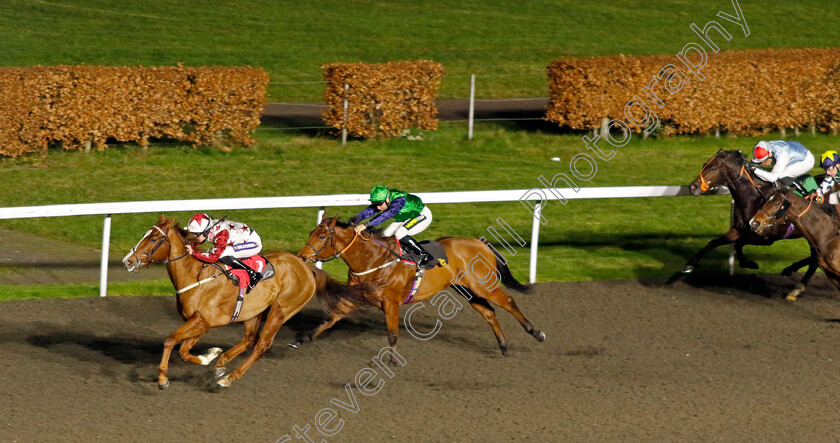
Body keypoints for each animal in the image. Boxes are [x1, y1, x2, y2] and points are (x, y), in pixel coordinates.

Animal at [123, 217, 366, 390]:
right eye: (145, 235)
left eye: (154, 239)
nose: (128, 261)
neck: (195, 276)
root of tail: (306, 266)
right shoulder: (200, 322)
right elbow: (183, 350)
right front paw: (209, 356)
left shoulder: (202, 320)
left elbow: (170, 341)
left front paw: (162, 379)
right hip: (253, 313)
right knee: (249, 340)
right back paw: (221, 364)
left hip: (281, 310)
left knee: (261, 345)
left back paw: (230, 377)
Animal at [294, 217, 544, 360]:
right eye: (310, 233)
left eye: (322, 235)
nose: (302, 257)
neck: (373, 259)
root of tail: (479, 242)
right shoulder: (355, 296)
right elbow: (330, 318)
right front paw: (303, 339)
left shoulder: (391, 303)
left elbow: (393, 334)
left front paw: (392, 360)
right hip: (466, 289)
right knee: (489, 312)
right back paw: (503, 346)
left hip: (483, 285)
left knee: (508, 302)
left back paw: (536, 332)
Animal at [676, 150, 820, 302]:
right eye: (704, 165)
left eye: (713, 168)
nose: (692, 187)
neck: (754, 198)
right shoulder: (738, 229)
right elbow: (715, 242)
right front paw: (688, 265)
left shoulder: (766, 238)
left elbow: (738, 244)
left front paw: (749, 263)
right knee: (815, 259)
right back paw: (791, 274)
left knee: (815, 260)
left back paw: (794, 283)